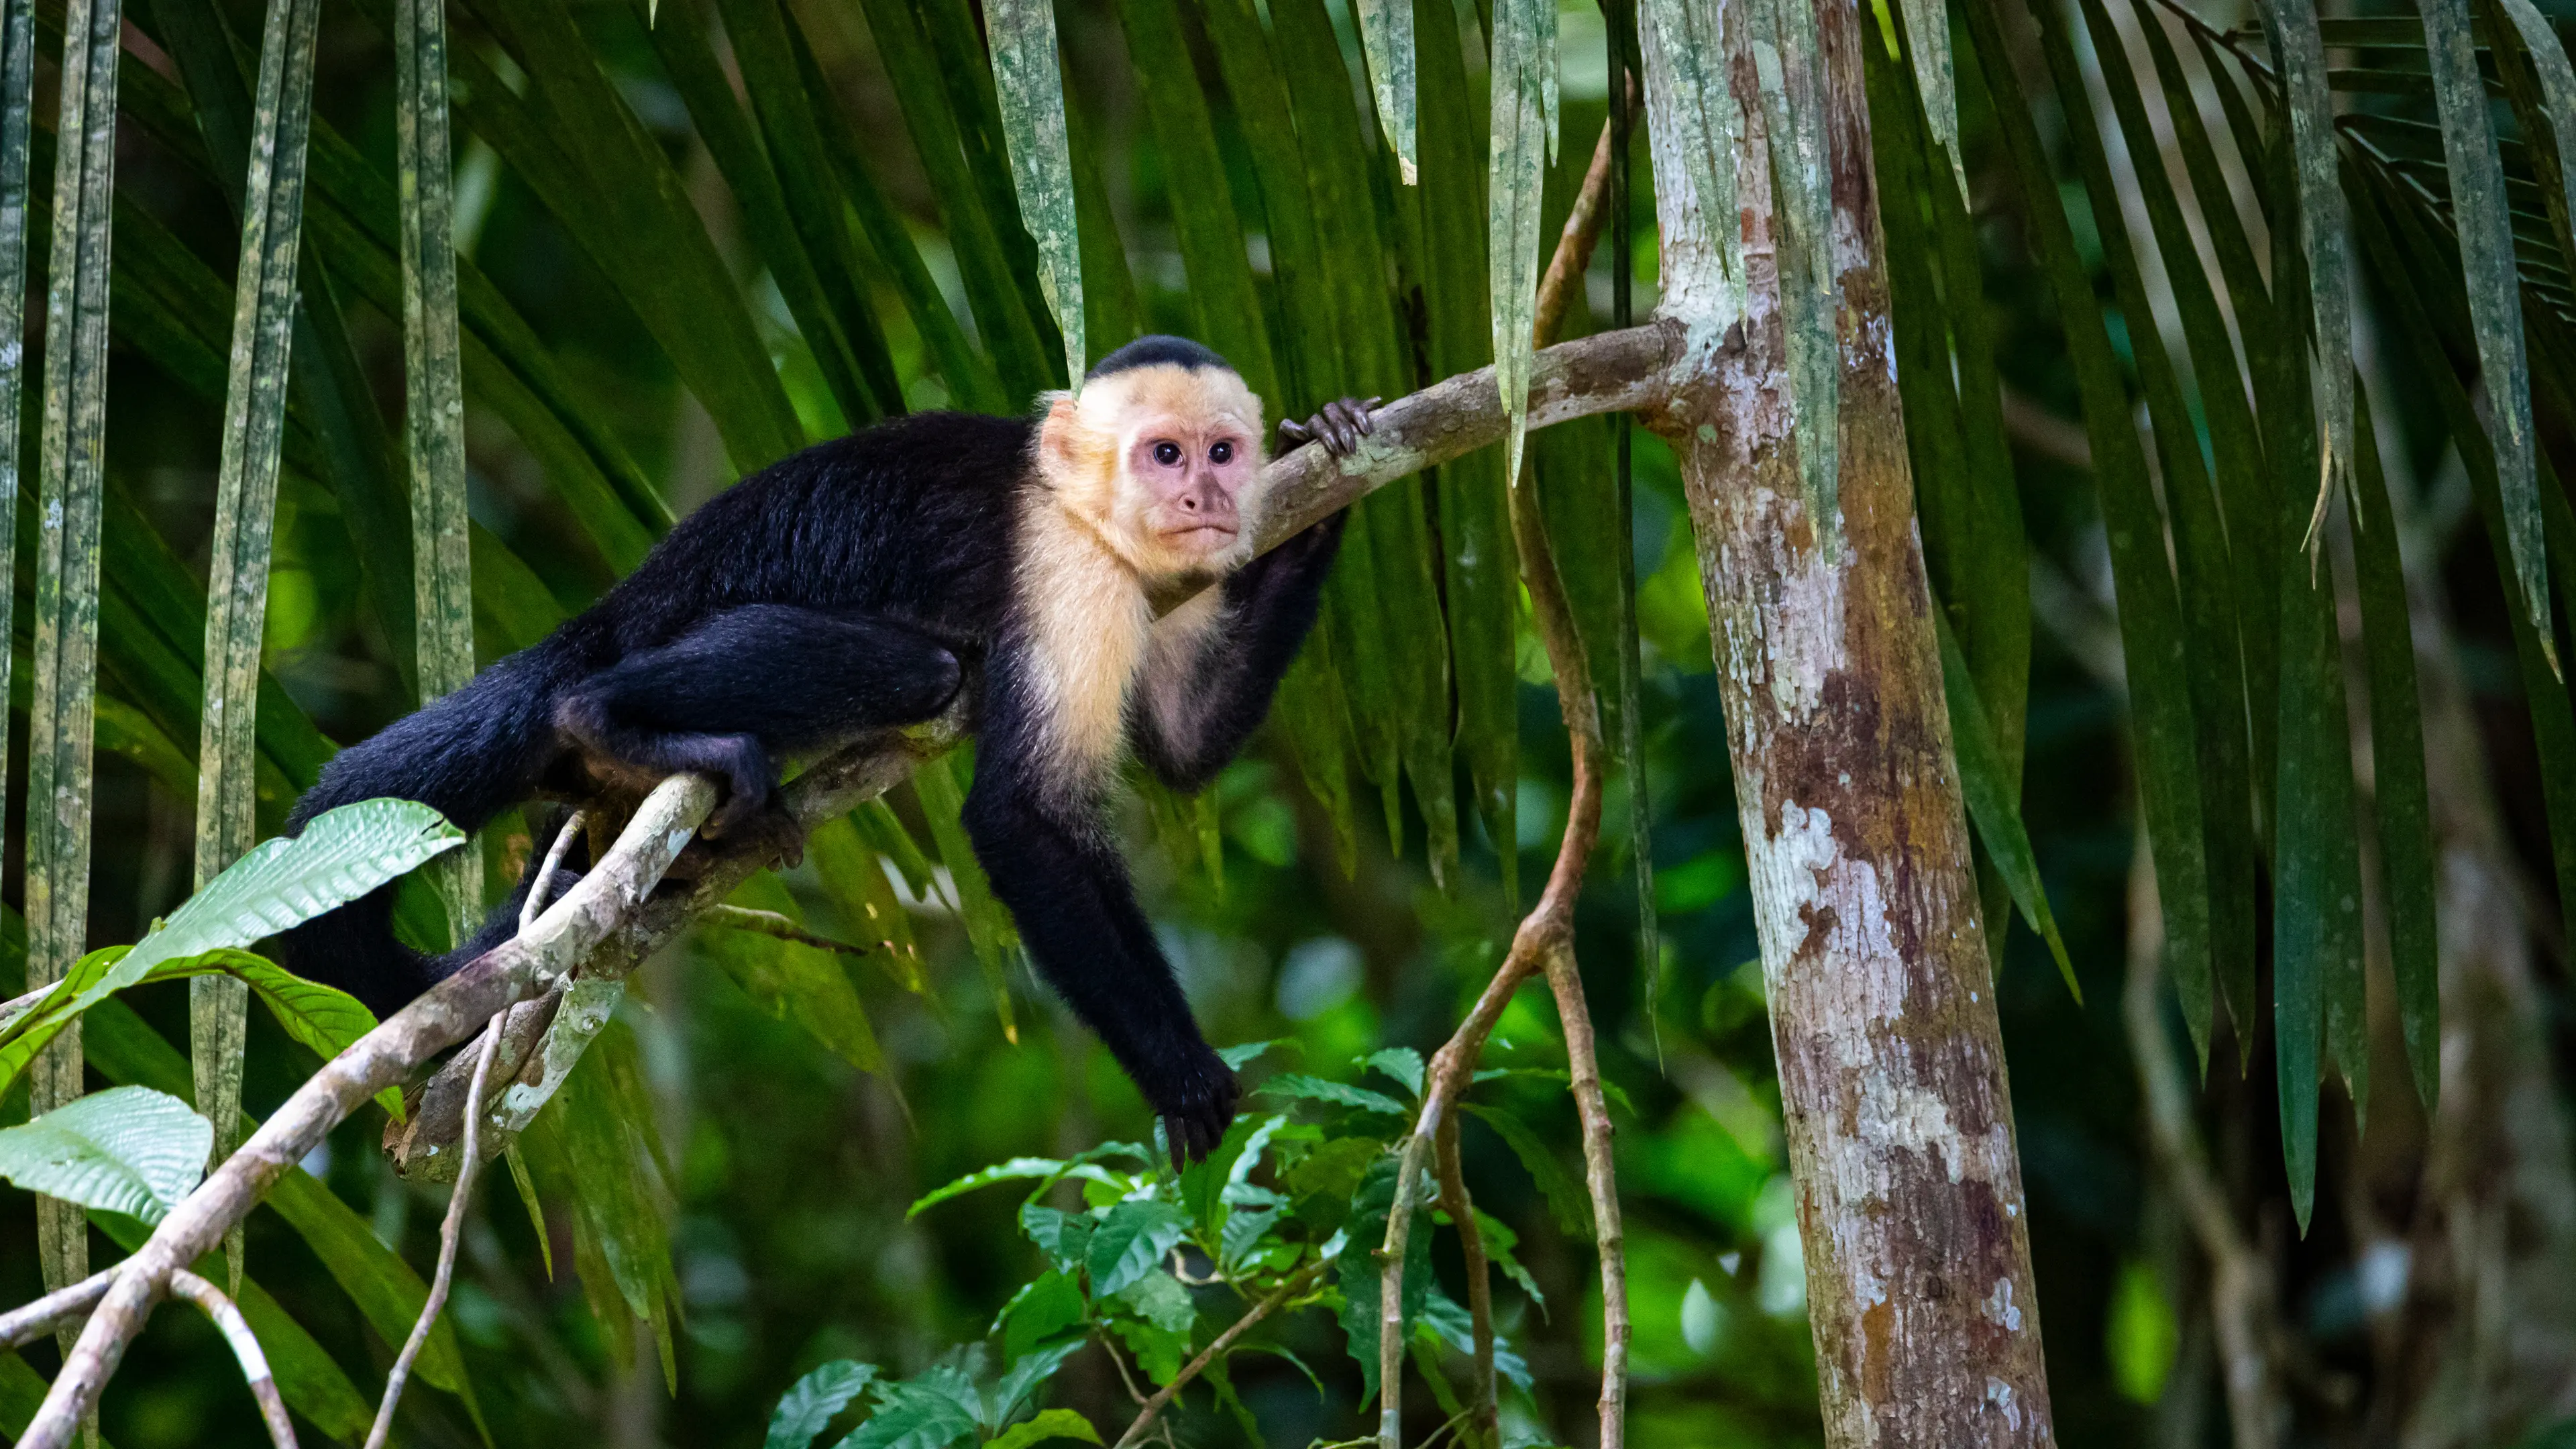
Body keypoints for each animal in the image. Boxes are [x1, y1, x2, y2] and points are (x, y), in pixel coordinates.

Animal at [272, 335, 1381, 1160]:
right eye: (1164, 455)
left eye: (1223, 453)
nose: (1206, 500)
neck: (1081, 510)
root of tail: (613, 613)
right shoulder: (1069, 575)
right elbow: (1020, 818)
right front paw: (1179, 1071)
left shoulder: (1169, 579)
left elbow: (1182, 745)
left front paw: (1334, 474)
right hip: (667, 628)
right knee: (912, 671)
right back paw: (610, 719)